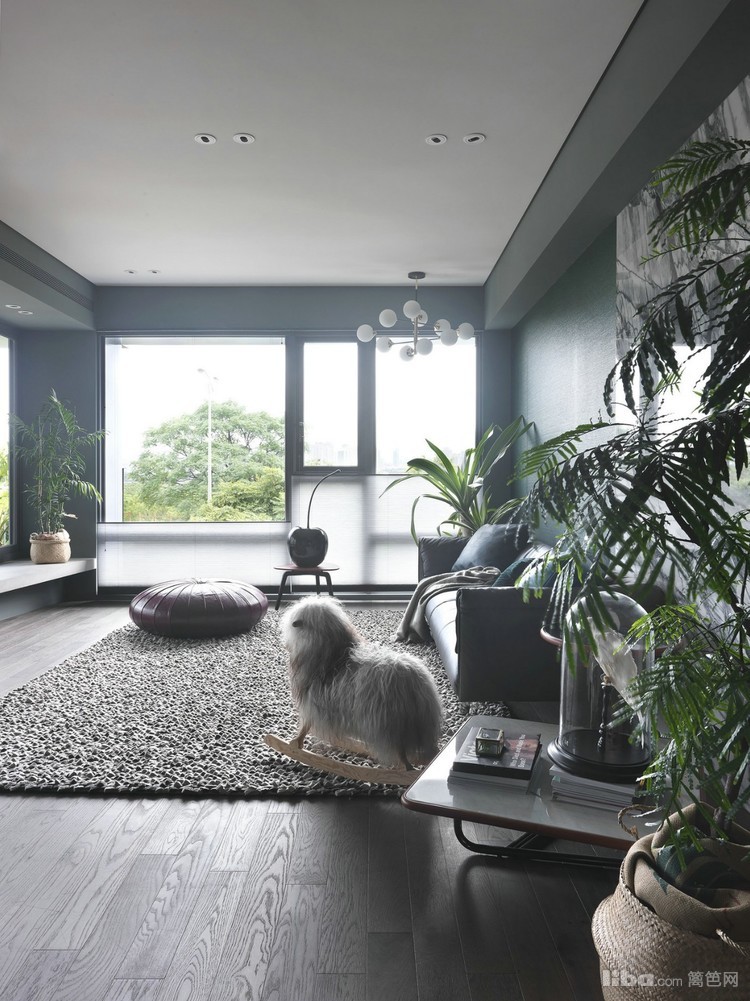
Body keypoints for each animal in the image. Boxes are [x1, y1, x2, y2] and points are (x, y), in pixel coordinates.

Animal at [279, 596, 443, 769]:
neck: (332, 656)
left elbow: (305, 727)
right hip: (419, 722)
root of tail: (411, 679)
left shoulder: (312, 704)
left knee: (403, 757)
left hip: (390, 725)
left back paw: (406, 768)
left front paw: (295, 743)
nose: (285, 645)